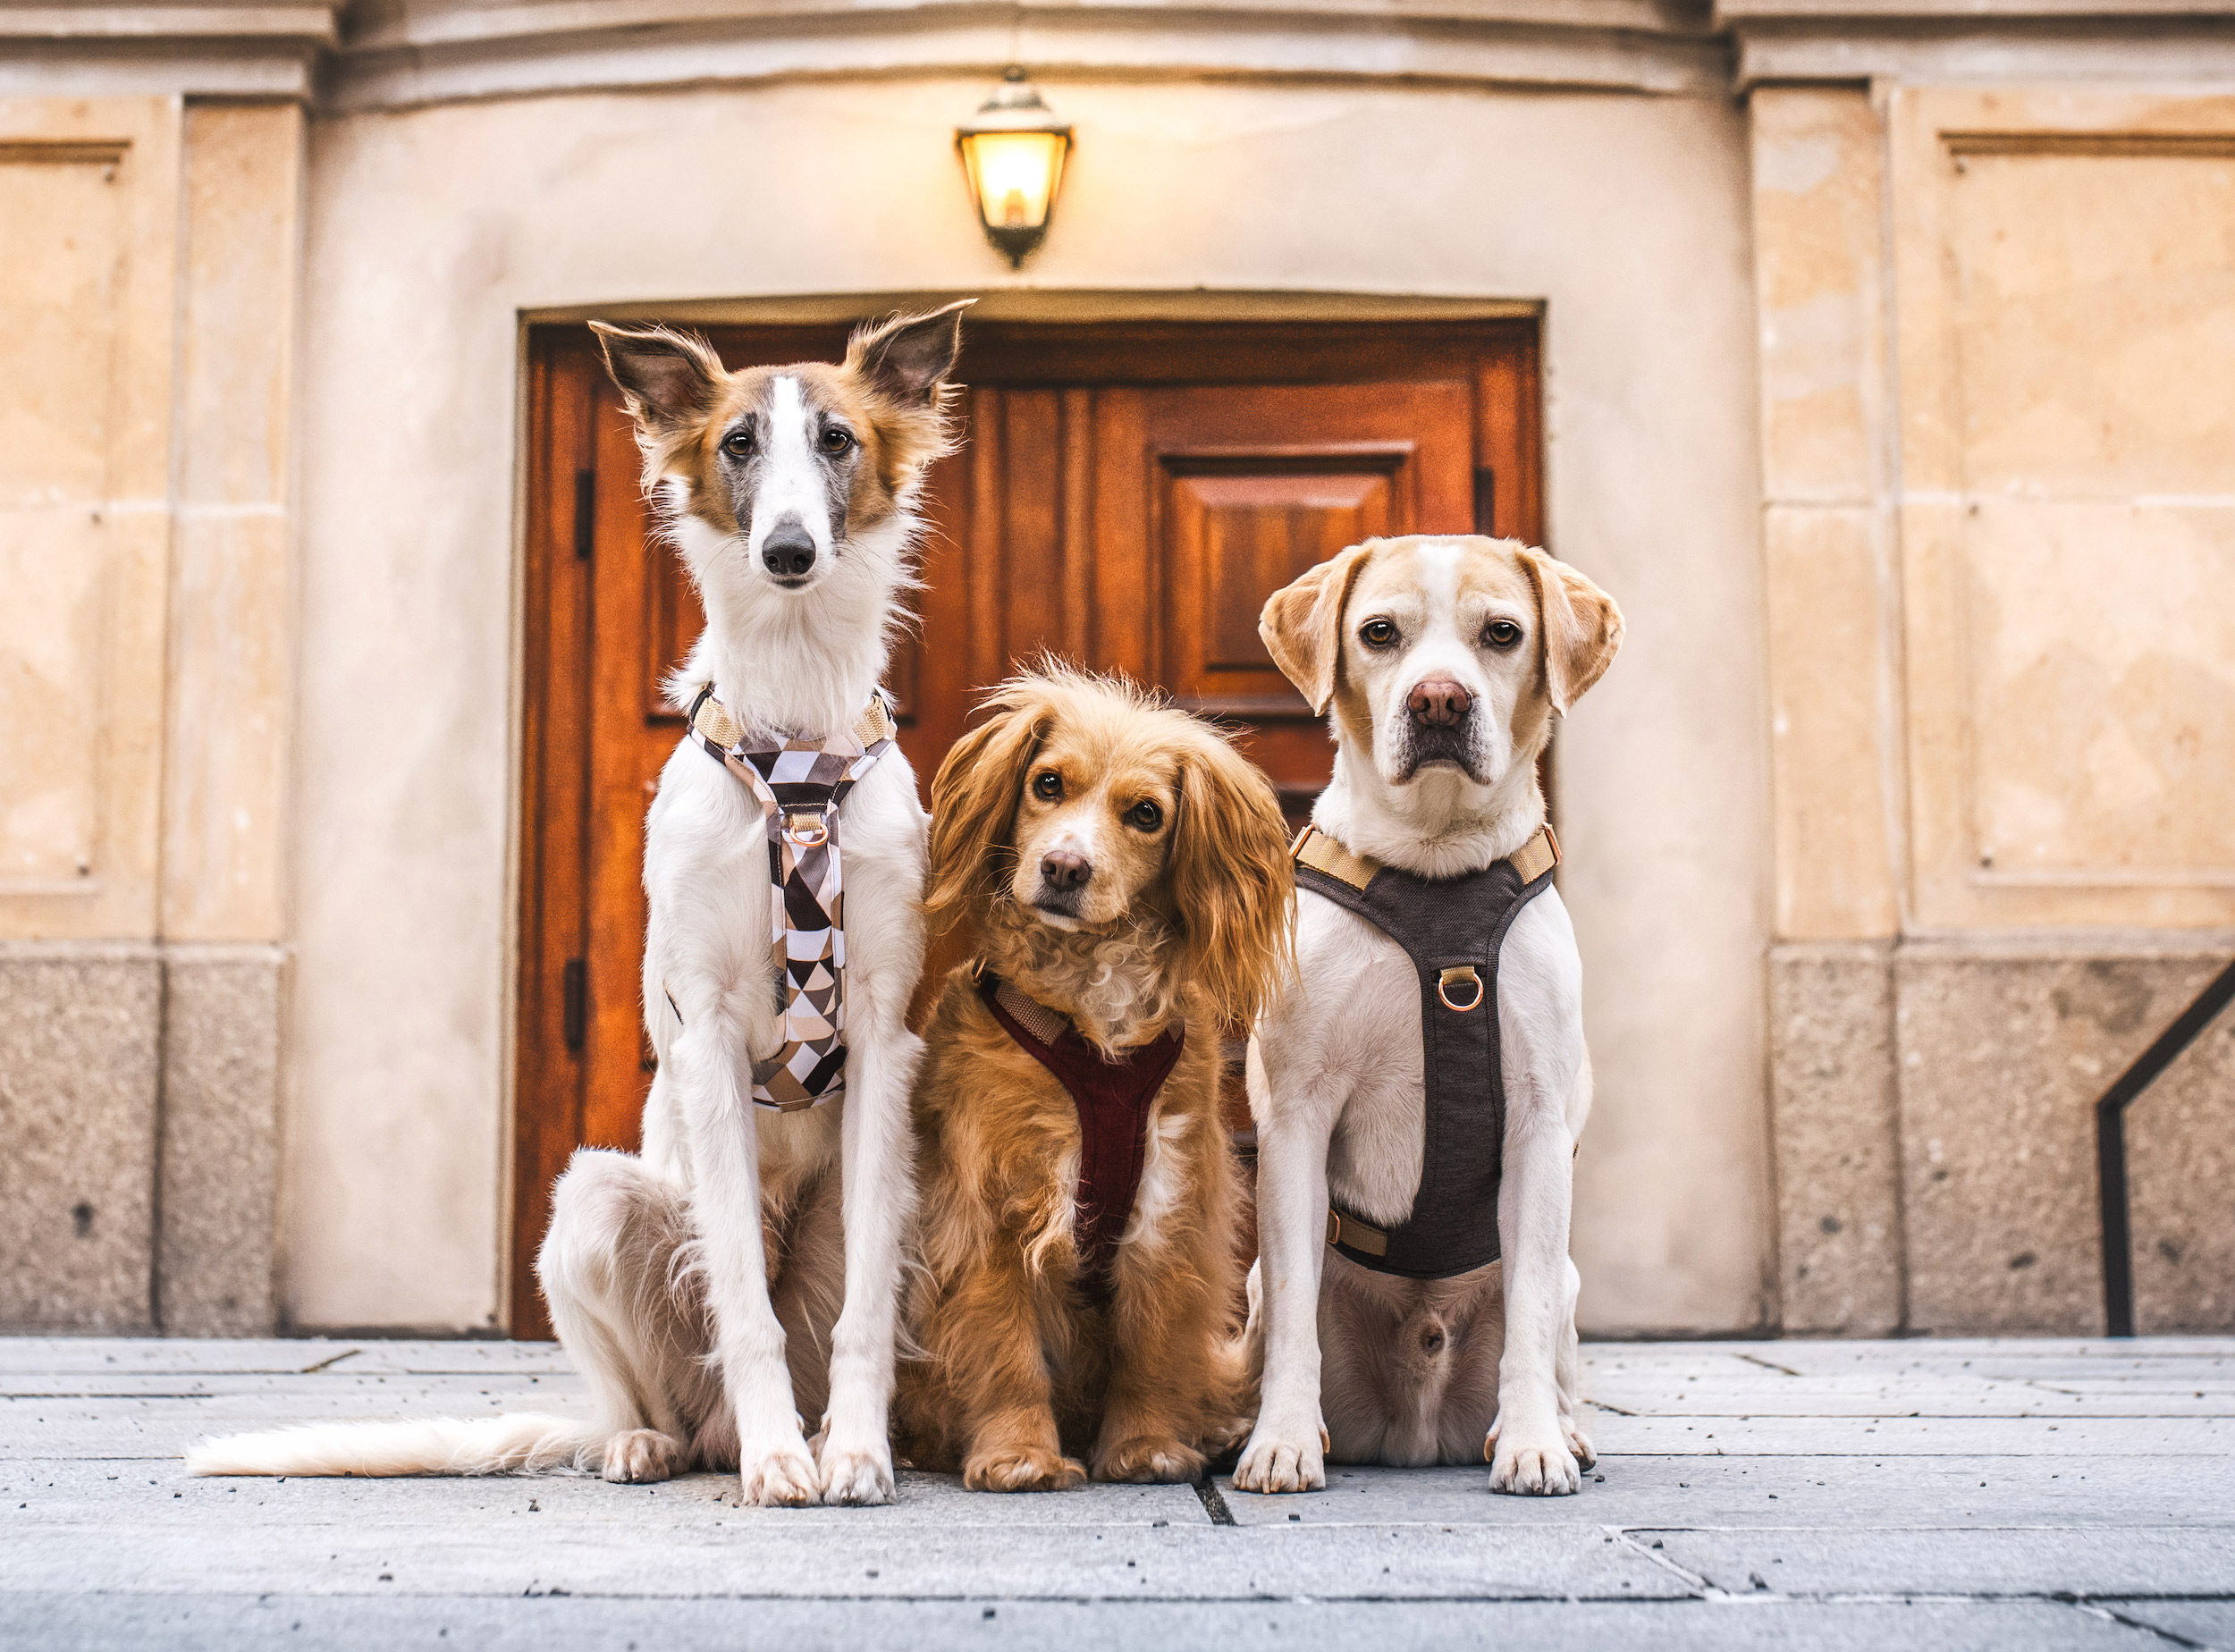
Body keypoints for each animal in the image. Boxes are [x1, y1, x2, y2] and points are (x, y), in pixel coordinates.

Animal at [894, 666, 1296, 1493]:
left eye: (1146, 814)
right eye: (1047, 784)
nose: (1064, 867)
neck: (1092, 1028)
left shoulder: (1169, 1207)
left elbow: (1152, 1349)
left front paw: (1146, 1447)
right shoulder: (985, 1214)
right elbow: (1006, 1351)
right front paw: (1018, 1454)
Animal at [1243, 538, 1627, 1502]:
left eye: (1503, 633)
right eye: (1379, 633)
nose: (1439, 700)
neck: (1435, 871)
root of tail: (1415, 1435)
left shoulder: (1536, 1125)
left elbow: (1528, 1309)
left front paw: (1533, 1444)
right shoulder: (1296, 1122)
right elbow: (1295, 1321)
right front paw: (1282, 1442)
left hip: (1567, 1284)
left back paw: (1565, 1432)